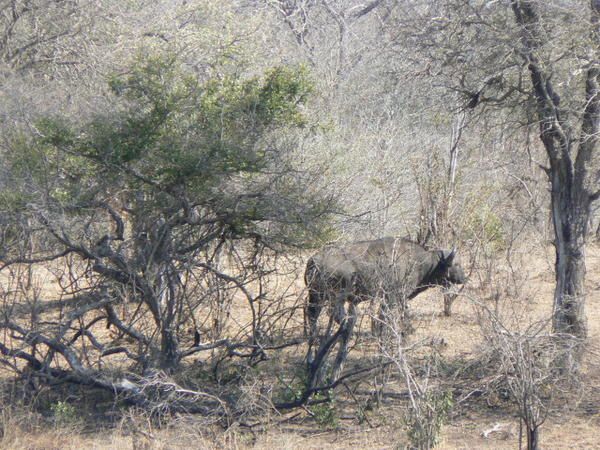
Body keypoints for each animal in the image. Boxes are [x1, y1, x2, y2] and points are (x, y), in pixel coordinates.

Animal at [304, 236, 464, 384]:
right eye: (456, 264)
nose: (464, 278)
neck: (419, 262)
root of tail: (314, 260)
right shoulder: (393, 299)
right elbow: (391, 323)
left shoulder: (386, 301)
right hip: (331, 299)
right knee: (336, 321)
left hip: (316, 298)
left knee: (315, 318)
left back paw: (314, 358)